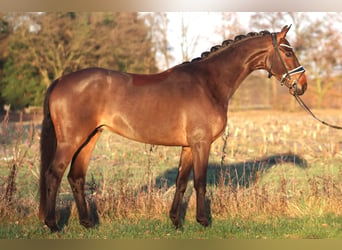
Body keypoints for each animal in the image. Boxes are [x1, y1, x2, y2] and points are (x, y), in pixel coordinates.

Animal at [39, 24, 308, 231]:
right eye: (288, 53)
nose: (303, 85)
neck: (208, 83)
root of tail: (61, 80)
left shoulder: (188, 147)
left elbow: (181, 182)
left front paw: (176, 221)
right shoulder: (201, 144)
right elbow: (200, 181)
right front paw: (203, 221)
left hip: (90, 138)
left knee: (76, 177)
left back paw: (87, 223)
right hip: (71, 140)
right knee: (54, 174)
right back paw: (52, 224)